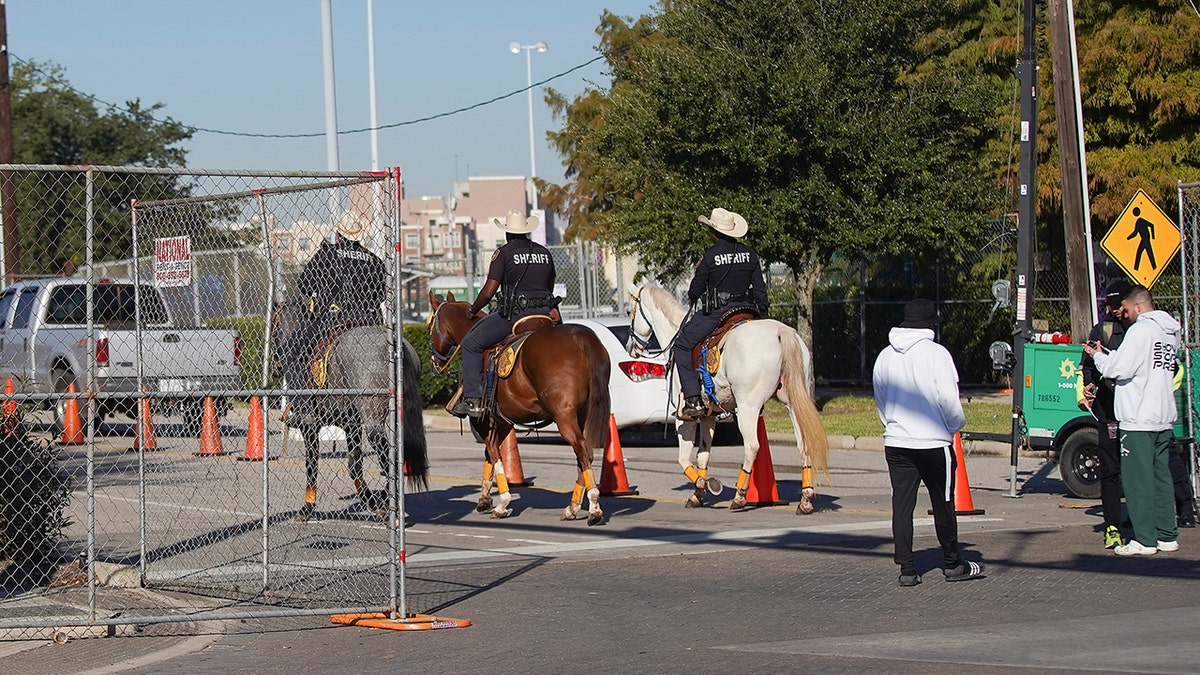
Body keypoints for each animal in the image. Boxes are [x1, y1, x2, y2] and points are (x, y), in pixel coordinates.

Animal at [427, 289, 609, 526]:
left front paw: (502, 503)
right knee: (585, 453)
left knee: (582, 449)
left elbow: (494, 455)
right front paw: (485, 498)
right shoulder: (502, 422)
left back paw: (594, 507)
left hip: (565, 416)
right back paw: (573, 507)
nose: (433, 362)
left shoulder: (483, 419)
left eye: (430, 325)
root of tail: (581, 339)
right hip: (583, 414)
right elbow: (489, 455)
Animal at [628, 278, 825, 509]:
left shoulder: (684, 417)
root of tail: (781, 332)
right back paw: (806, 498)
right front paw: (697, 494)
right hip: (792, 401)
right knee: (804, 444)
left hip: (748, 406)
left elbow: (683, 459)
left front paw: (706, 484)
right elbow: (703, 455)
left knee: (752, 446)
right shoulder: (708, 415)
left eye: (630, 310)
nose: (630, 346)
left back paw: (740, 496)